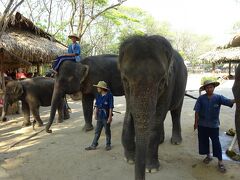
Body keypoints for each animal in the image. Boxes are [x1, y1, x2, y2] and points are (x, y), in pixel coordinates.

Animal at [118, 35, 188, 180]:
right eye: (125, 80)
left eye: (162, 81)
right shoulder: (127, 91)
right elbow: (129, 113)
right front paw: (130, 159)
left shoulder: (169, 83)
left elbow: (158, 116)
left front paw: (151, 169)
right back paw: (161, 141)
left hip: (182, 87)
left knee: (176, 111)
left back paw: (176, 141)